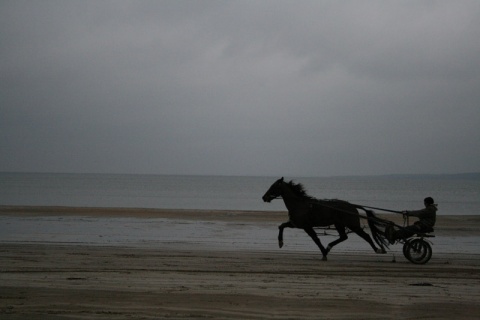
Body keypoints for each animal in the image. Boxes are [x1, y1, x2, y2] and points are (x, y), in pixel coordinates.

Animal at [260, 178, 388, 260]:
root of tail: (352, 206)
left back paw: (378, 249)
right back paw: (329, 246)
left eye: (273, 186)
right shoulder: (296, 223)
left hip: (352, 224)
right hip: (339, 224)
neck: (299, 205)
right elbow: (281, 226)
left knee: (365, 236)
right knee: (343, 237)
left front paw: (324, 253)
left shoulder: (306, 226)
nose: (264, 197)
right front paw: (280, 242)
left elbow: (315, 239)